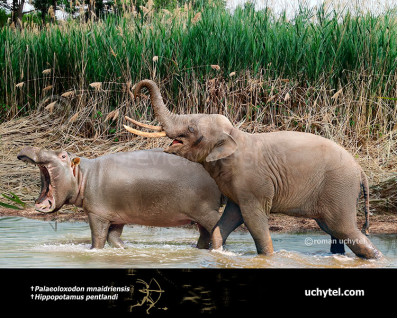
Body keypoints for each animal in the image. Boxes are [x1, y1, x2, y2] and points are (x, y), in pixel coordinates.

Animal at [17, 148, 224, 250]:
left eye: (62, 155)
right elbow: (113, 237)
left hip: (205, 211)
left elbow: (99, 237)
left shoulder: (97, 213)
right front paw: (125, 250)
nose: (31, 146)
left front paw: (93, 252)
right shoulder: (116, 215)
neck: (83, 174)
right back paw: (198, 249)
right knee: (205, 234)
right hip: (198, 216)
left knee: (217, 227)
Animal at [124, 80, 382, 260]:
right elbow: (229, 218)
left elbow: (253, 220)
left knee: (344, 229)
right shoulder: (236, 188)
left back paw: (376, 258)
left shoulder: (253, 184)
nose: (135, 92)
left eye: (191, 128)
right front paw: (217, 253)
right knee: (333, 230)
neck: (235, 135)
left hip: (340, 188)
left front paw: (267, 258)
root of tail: (360, 170)